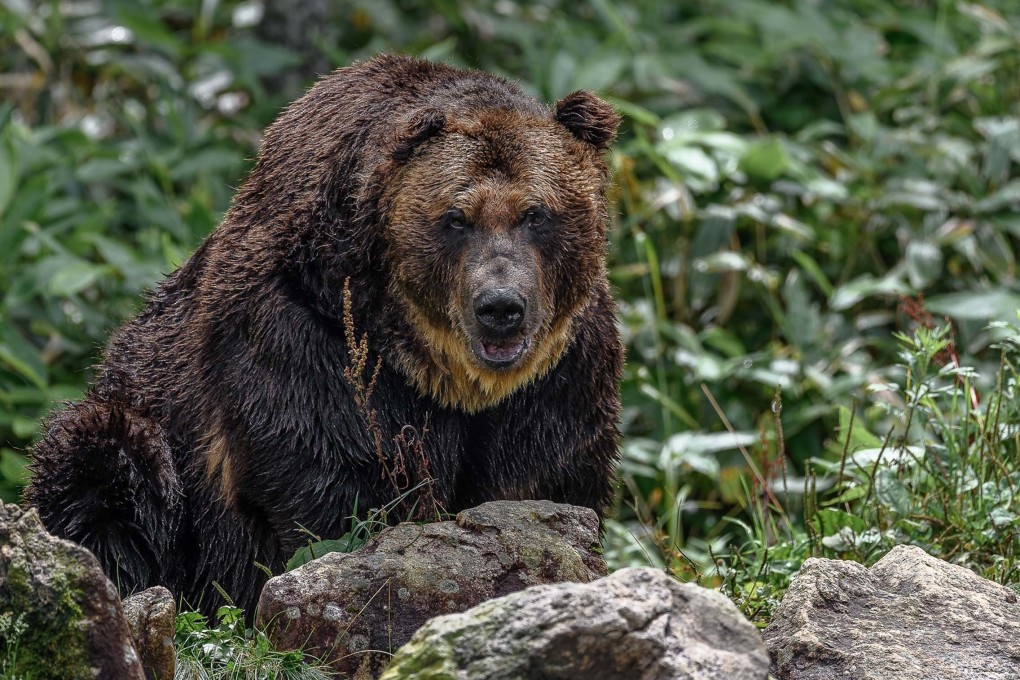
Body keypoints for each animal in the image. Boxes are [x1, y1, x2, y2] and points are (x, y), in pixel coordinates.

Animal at [26, 54, 623, 615]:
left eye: (535, 213)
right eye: (456, 218)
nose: (501, 307)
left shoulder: (562, 368)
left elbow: (541, 477)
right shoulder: (302, 333)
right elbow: (329, 481)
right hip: (149, 425)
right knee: (106, 461)